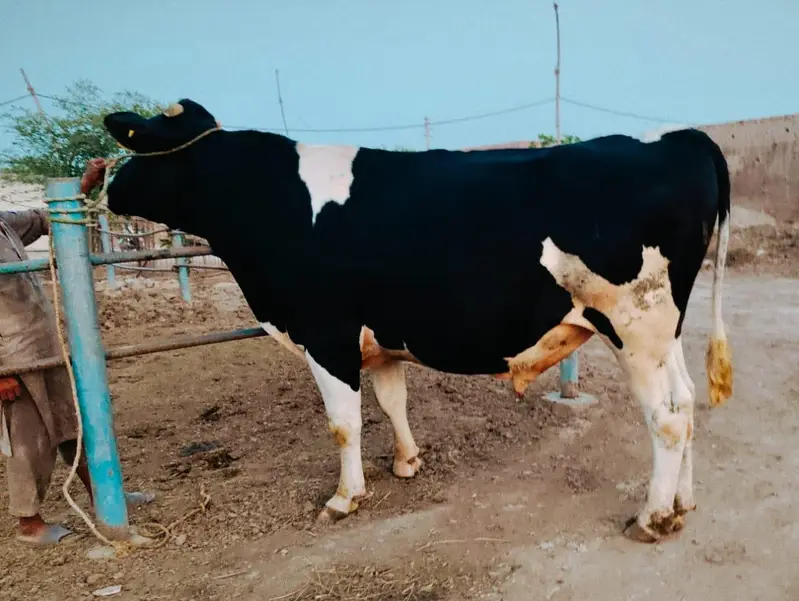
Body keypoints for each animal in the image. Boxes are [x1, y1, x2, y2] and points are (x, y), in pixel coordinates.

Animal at [92, 98, 733, 543]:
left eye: (136, 143)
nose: (105, 186)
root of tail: (681, 137)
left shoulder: (324, 333)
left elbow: (343, 423)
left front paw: (345, 497)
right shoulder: (377, 336)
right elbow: (391, 400)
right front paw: (406, 463)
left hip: (634, 323)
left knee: (668, 418)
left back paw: (651, 518)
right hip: (664, 330)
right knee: (687, 401)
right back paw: (683, 505)